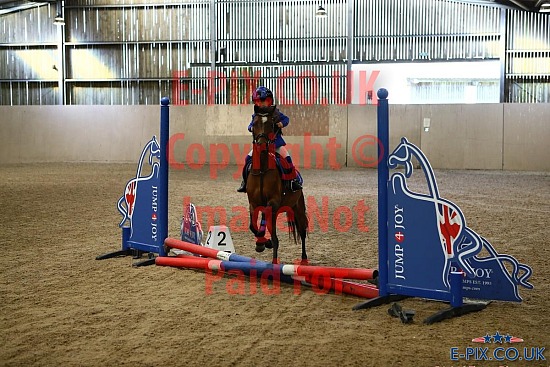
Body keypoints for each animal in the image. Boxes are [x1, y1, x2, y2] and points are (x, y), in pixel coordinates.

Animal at [247, 105, 308, 264]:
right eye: (254, 123)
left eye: (272, 123)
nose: (261, 144)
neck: (262, 170)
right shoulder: (253, 203)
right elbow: (252, 226)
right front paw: (262, 243)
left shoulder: (272, 203)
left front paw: (264, 244)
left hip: (297, 207)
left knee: (302, 231)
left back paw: (303, 260)